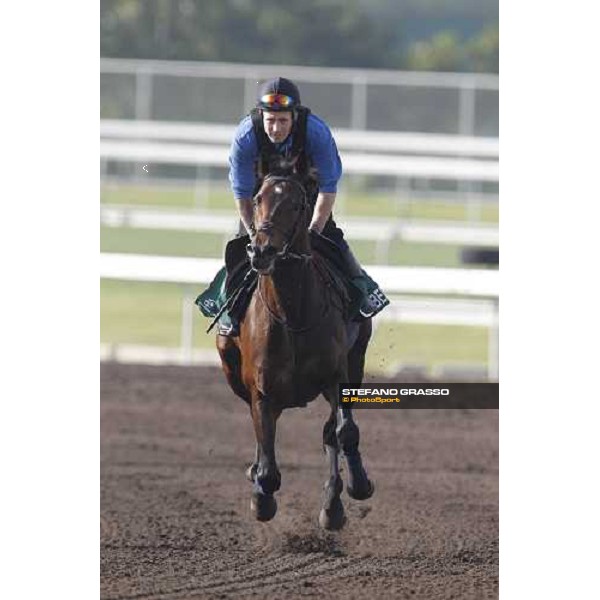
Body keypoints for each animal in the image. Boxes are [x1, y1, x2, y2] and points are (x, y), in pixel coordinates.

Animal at [216, 169, 376, 528]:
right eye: (258, 199)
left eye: (296, 204)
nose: (262, 251)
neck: (293, 314)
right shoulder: (262, 389)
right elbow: (267, 459)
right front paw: (261, 496)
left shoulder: (336, 376)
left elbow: (344, 431)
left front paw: (353, 489)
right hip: (232, 370)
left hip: (357, 358)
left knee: (333, 433)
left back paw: (336, 499)